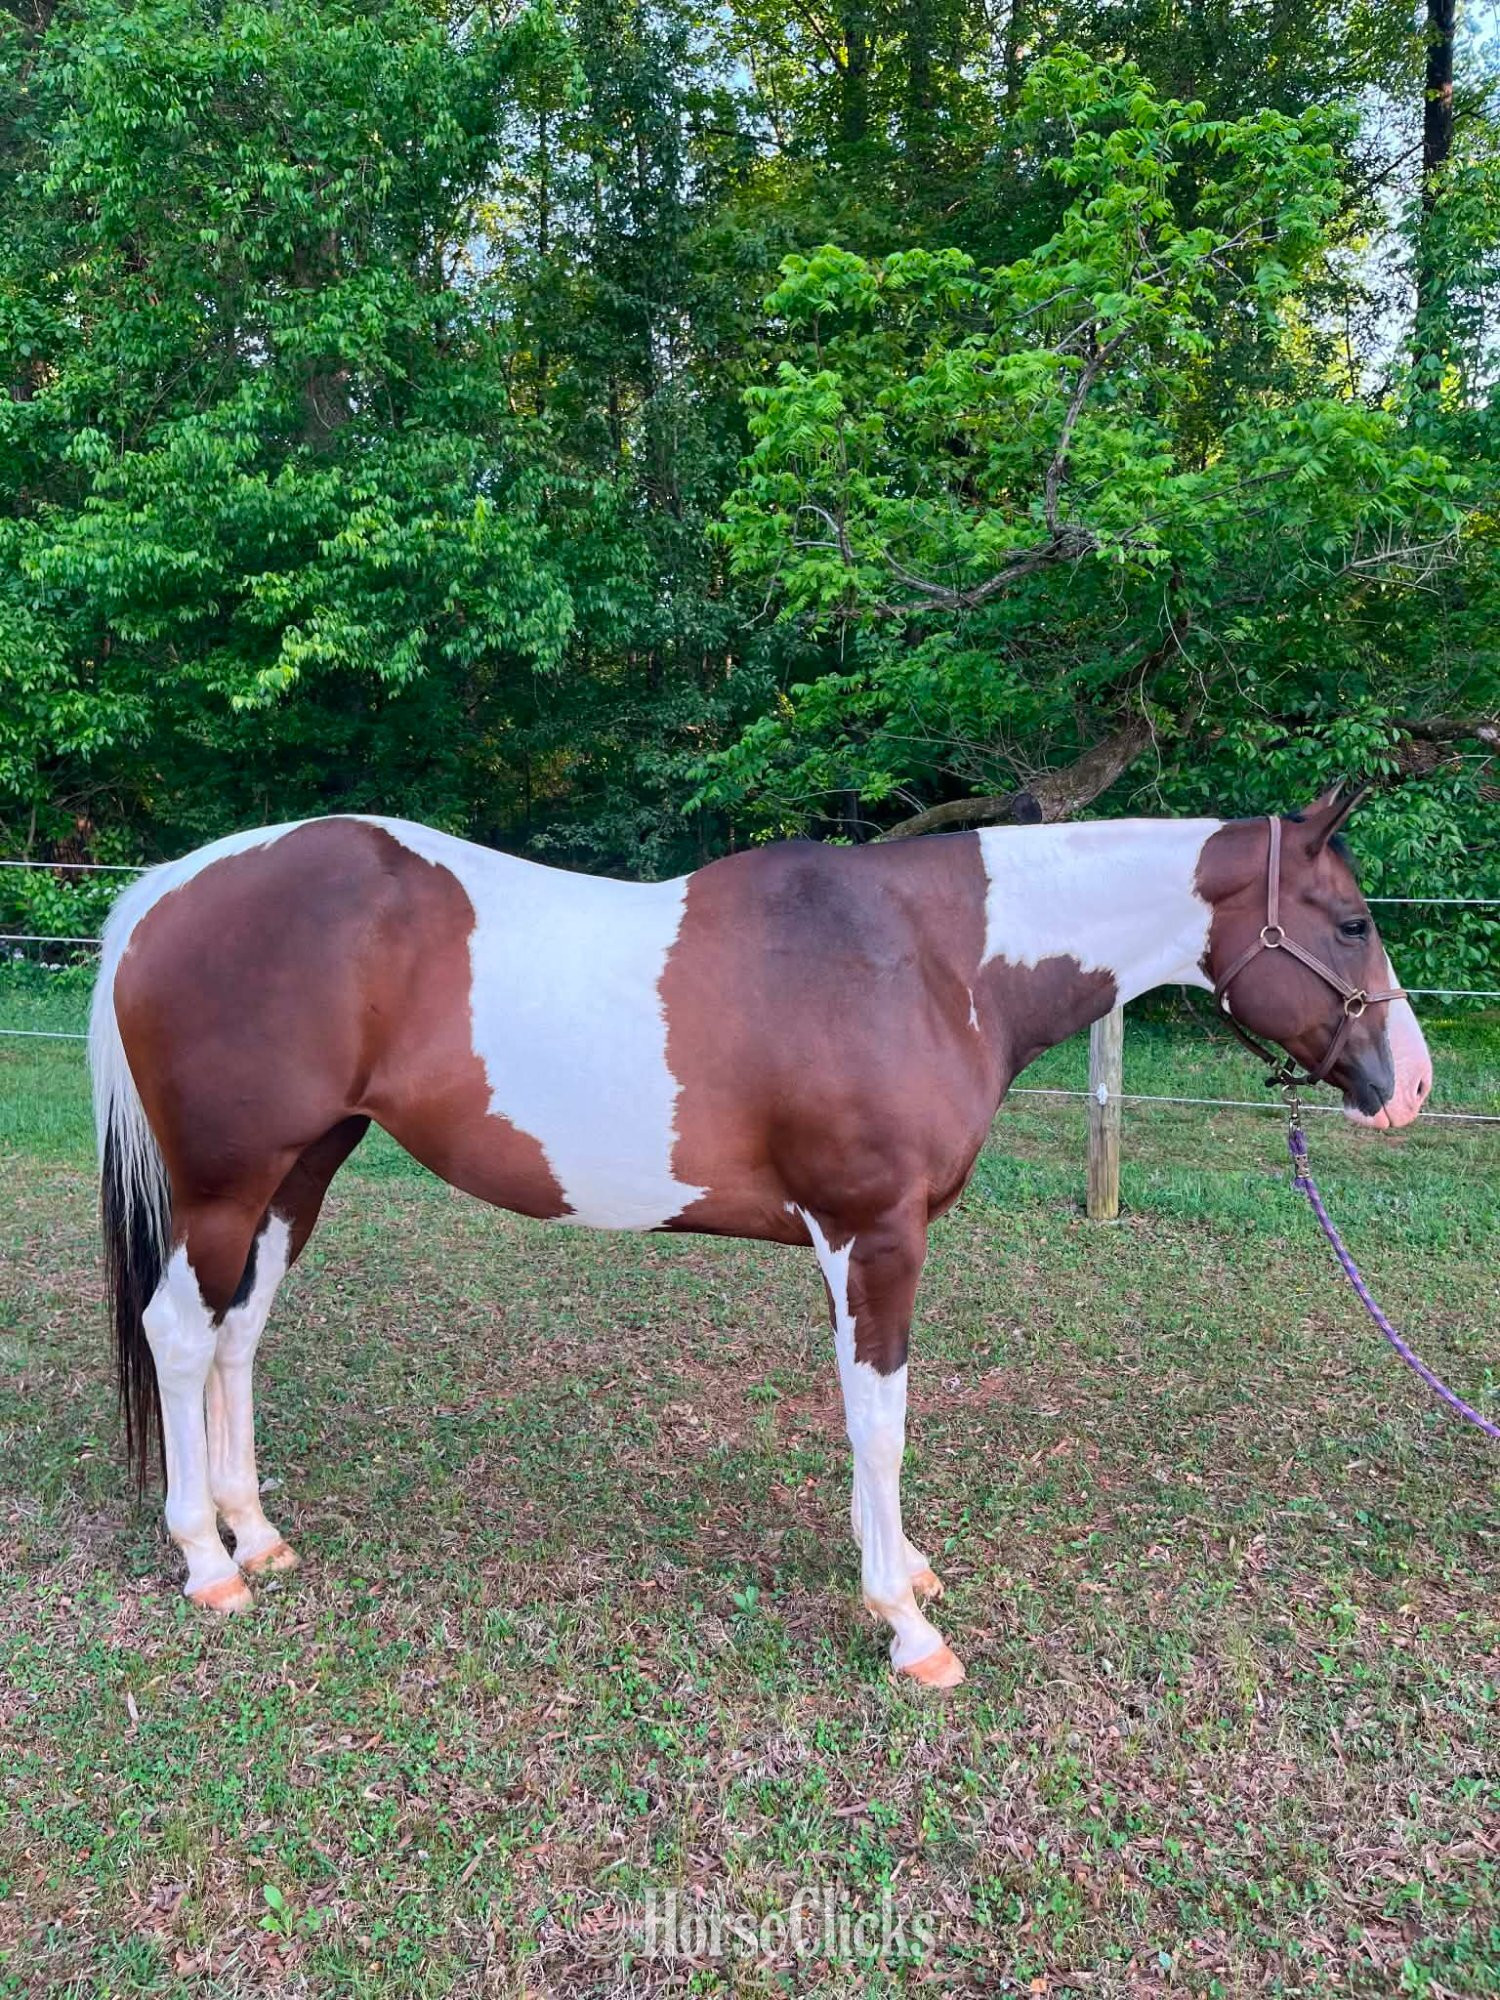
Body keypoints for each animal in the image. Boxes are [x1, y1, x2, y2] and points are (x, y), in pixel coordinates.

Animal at [88, 788, 1432, 1688]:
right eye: (1350, 920)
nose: (1408, 1084)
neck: (929, 963)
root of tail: (165, 890)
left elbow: (868, 1416)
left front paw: (904, 1566)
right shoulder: (874, 1237)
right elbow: (881, 1417)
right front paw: (907, 1623)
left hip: (301, 1168)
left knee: (239, 1333)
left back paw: (257, 1536)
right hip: (228, 1181)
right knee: (180, 1333)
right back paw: (205, 1560)